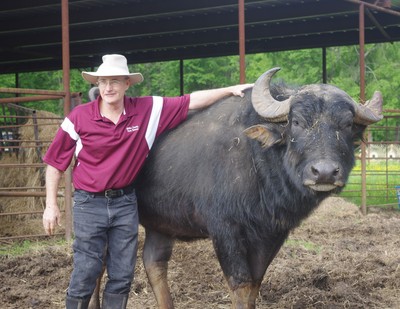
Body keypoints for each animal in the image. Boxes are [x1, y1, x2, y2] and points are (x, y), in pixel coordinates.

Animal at [89, 68, 382, 308]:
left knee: (154, 262)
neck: (258, 160)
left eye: (346, 125)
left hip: (161, 223)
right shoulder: (225, 230)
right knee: (97, 265)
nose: (324, 172)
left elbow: (255, 285)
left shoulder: (271, 234)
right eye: (297, 122)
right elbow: (240, 285)